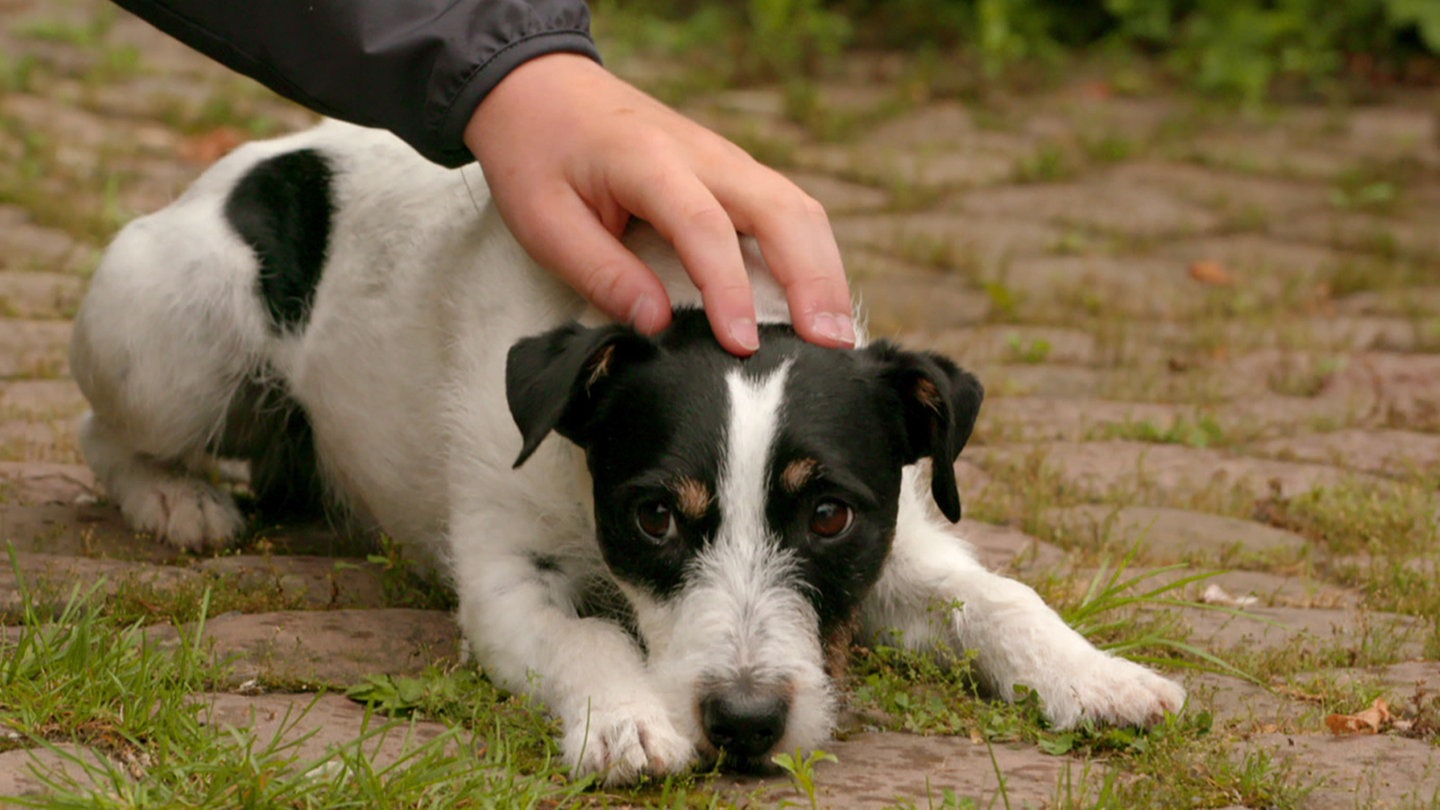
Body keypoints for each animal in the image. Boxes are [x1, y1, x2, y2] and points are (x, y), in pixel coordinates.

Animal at [70, 119, 1180, 784]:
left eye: (829, 514)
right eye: (653, 514)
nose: (744, 724)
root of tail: (256, 158)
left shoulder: (903, 544)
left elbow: (999, 597)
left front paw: (1096, 675)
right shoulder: (508, 580)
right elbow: (589, 640)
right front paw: (628, 720)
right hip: (176, 346)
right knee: (103, 432)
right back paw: (173, 500)